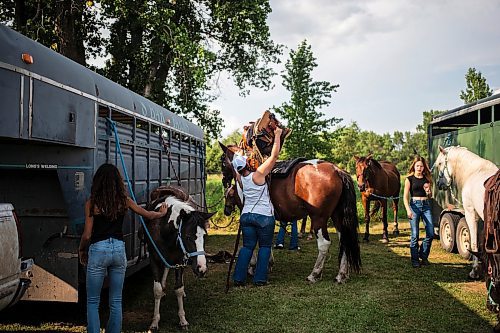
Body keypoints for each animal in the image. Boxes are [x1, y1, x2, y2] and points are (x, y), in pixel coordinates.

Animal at [145, 185, 215, 330]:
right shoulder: (154, 260)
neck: (163, 229)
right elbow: (157, 290)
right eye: (188, 237)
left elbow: (178, 288)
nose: (201, 268)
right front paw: (154, 322)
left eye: (204, 235)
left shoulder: (179, 260)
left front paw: (183, 320)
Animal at [221, 143, 362, 282]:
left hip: (319, 218)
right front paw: (268, 263)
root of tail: (337, 170)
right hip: (338, 217)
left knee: (324, 244)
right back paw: (341, 274)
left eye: (222, 161)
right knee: (344, 241)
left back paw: (314, 274)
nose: (224, 181)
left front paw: (252, 266)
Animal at [436, 145, 498, 278]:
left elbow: (473, 242)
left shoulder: (471, 213)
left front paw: (475, 271)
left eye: (440, 163)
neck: (475, 172)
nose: (439, 183)